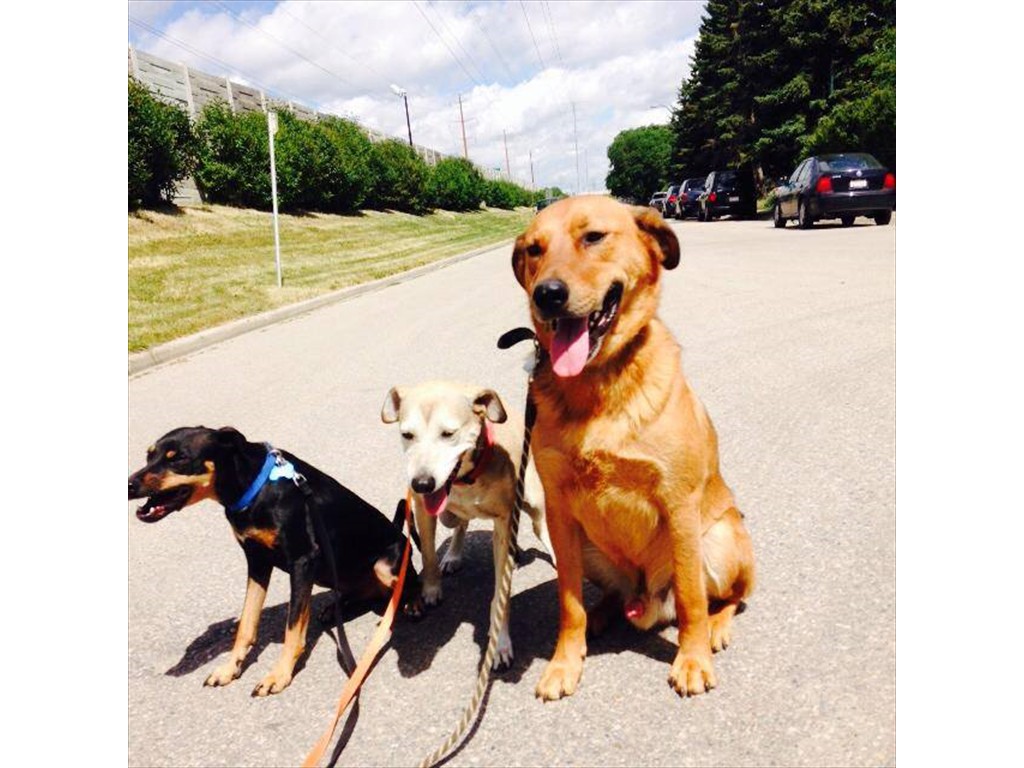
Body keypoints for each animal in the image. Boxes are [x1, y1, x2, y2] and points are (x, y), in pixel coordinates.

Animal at [129, 428, 419, 696]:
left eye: (178, 458)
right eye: (148, 455)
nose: (129, 484)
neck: (253, 489)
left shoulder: (303, 561)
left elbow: (293, 628)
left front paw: (278, 676)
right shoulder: (257, 562)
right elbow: (246, 624)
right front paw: (229, 669)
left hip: (384, 566)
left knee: (406, 584)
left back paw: (414, 603)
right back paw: (337, 608)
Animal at [382, 380, 552, 667]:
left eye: (448, 434)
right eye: (407, 435)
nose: (422, 483)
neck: (467, 478)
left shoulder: (504, 522)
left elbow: (501, 593)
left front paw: (499, 642)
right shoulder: (424, 510)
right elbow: (428, 555)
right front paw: (431, 589)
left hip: (534, 506)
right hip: (447, 516)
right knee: (460, 523)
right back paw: (453, 555)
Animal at [509, 195, 753, 700]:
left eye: (593, 237)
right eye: (534, 249)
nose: (547, 294)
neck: (596, 385)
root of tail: (648, 599)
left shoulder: (679, 504)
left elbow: (692, 598)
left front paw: (692, 658)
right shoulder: (559, 512)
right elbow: (569, 602)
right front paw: (565, 661)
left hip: (718, 538)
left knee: (728, 597)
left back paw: (717, 627)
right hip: (586, 547)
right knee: (608, 595)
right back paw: (603, 616)